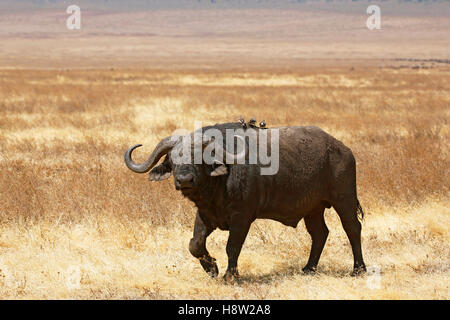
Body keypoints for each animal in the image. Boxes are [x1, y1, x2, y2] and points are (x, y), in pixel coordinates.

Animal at [123, 122, 366, 280]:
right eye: (173, 159)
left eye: (200, 158)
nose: (184, 180)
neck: (218, 184)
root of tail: (343, 150)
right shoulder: (205, 214)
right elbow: (195, 243)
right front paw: (212, 269)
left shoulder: (242, 218)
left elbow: (232, 247)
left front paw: (230, 275)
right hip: (312, 209)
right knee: (320, 233)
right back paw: (309, 268)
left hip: (344, 199)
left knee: (352, 228)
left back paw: (358, 269)